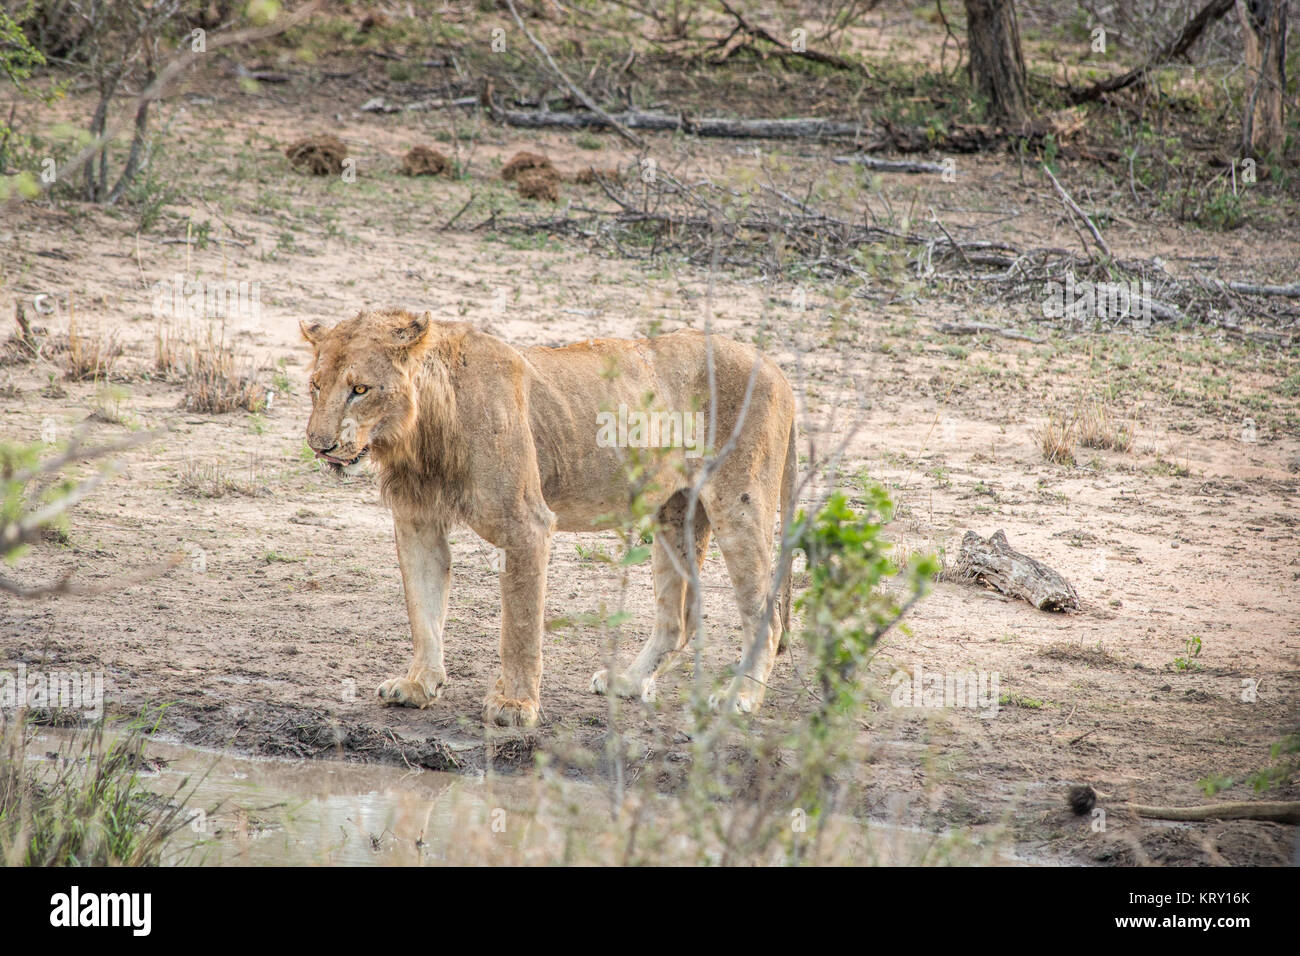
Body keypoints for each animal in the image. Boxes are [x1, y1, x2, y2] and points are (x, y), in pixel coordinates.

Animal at [299, 310, 795, 728]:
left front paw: (514, 704)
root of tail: (777, 368)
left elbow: (519, 625)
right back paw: (628, 683)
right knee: (677, 621)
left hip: (739, 506)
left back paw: (740, 698)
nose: (320, 445)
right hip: (676, 515)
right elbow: (423, 611)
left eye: (360, 390)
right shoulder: (417, 521)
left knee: (766, 618)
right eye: (316, 387)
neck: (418, 435)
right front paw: (418, 685)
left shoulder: (527, 524)